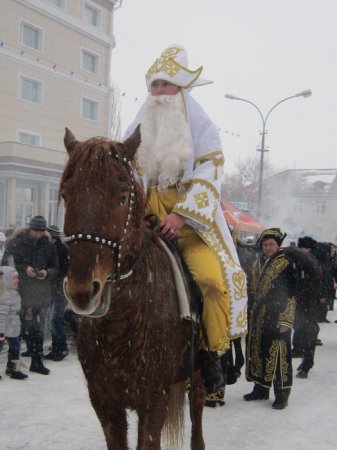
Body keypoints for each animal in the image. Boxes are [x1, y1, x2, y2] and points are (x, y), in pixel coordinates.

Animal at [60, 126, 205, 450]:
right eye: (66, 195)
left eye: (122, 197)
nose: (82, 291)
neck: (120, 322)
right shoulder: (105, 403)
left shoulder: (153, 400)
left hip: (198, 373)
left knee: (198, 413)